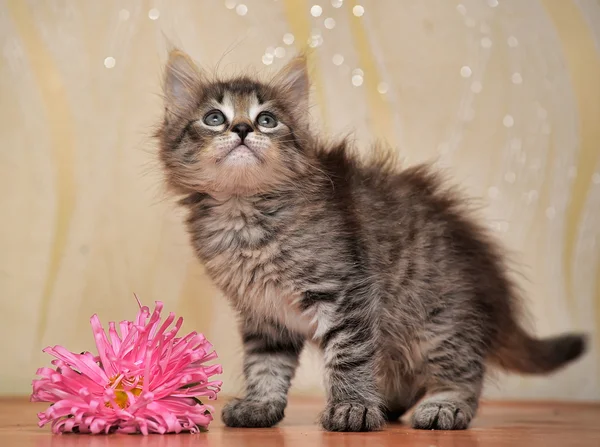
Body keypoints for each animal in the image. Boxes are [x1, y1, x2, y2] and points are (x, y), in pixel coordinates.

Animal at [155, 50, 584, 432]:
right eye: (214, 118)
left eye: (267, 120)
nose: (243, 129)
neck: (244, 213)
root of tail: (490, 275)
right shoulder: (265, 313)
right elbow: (265, 364)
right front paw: (261, 404)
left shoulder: (346, 290)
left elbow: (349, 356)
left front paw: (352, 409)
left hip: (437, 320)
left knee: (462, 372)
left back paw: (442, 406)